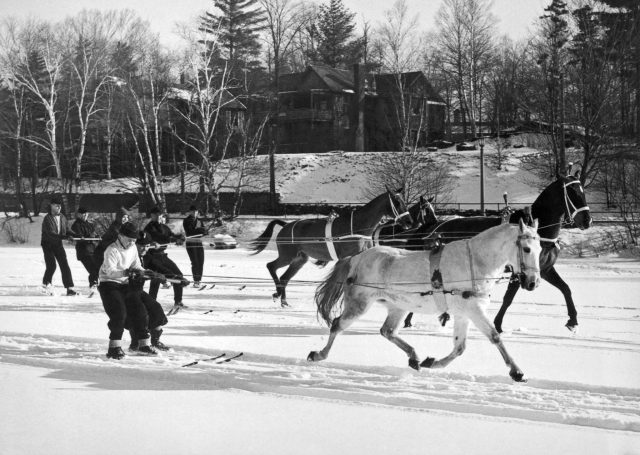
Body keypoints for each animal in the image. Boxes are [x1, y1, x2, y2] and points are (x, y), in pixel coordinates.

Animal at [248, 187, 412, 308]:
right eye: (397, 202)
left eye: (403, 201)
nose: (409, 221)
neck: (358, 226)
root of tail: (286, 225)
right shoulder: (348, 257)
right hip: (287, 256)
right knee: (271, 266)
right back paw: (277, 293)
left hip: (299, 259)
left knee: (284, 277)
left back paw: (283, 300)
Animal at [308, 219, 544, 382]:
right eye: (526, 249)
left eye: (540, 249)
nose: (533, 282)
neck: (475, 262)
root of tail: (356, 258)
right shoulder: (474, 309)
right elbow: (494, 337)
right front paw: (517, 372)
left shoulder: (463, 313)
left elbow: (460, 347)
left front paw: (432, 362)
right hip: (359, 304)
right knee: (337, 325)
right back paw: (318, 354)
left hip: (398, 307)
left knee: (387, 331)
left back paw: (414, 358)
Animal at [402, 173, 592, 334]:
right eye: (572, 192)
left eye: (583, 190)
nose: (587, 220)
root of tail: (432, 226)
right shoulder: (519, 272)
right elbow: (508, 299)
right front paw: (498, 324)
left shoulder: (544, 270)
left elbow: (566, 289)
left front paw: (573, 320)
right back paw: (410, 318)